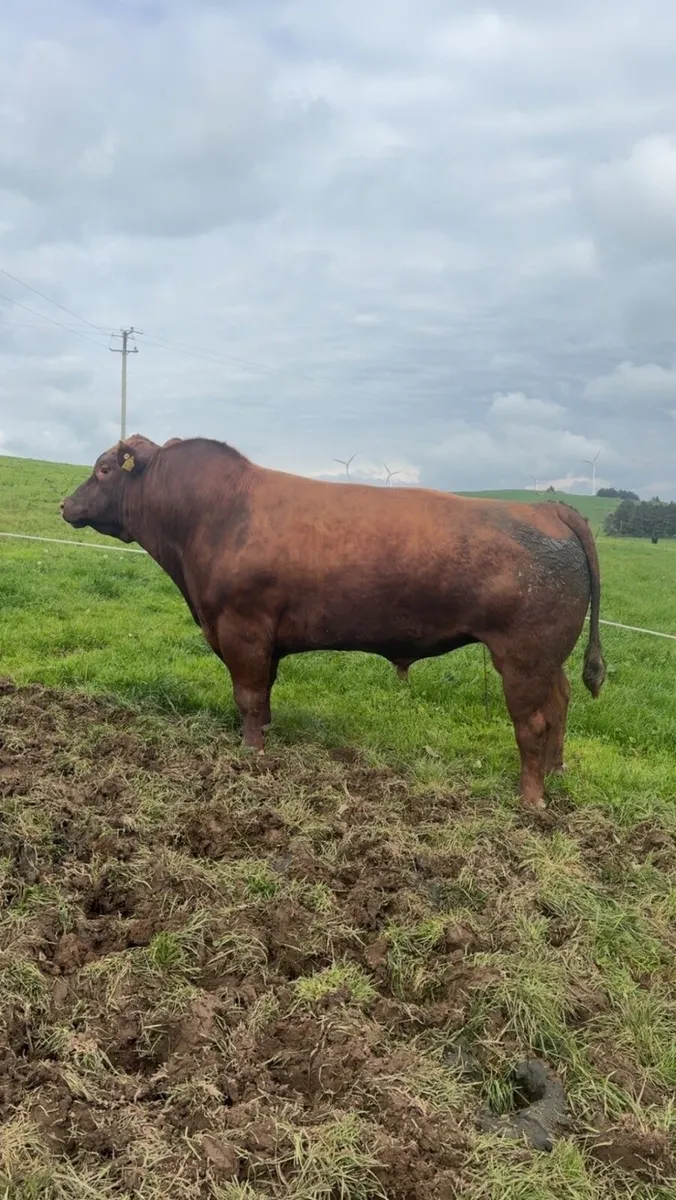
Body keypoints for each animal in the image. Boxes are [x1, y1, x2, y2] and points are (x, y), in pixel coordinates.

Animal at [61, 434, 606, 809]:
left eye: (104, 469)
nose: (65, 503)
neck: (212, 515)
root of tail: (548, 508)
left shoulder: (242, 628)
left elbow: (247, 694)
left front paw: (252, 753)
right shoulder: (264, 638)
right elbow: (264, 692)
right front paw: (267, 733)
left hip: (523, 655)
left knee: (533, 720)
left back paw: (531, 797)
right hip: (548, 656)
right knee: (561, 701)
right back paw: (557, 771)